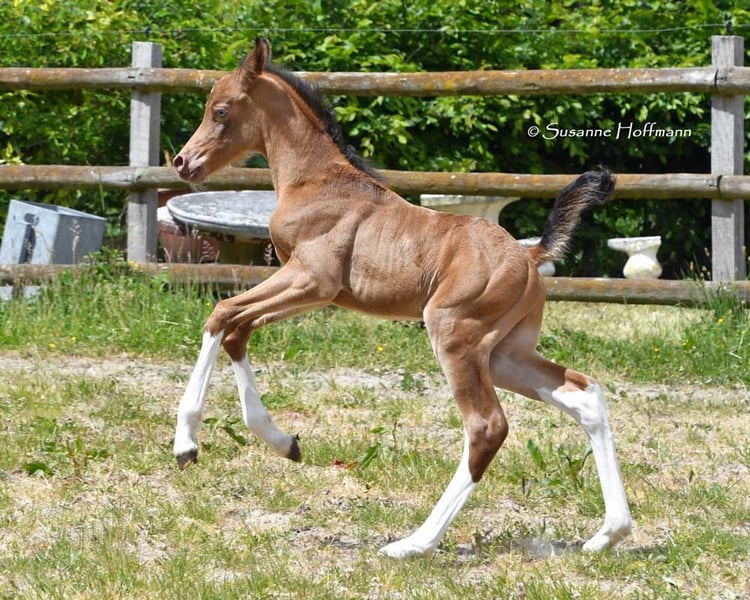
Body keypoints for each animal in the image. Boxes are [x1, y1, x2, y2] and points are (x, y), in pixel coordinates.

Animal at [172, 38, 633, 558]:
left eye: (221, 110)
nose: (183, 162)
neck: (317, 182)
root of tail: (530, 254)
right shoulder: (312, 292)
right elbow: (237, 330)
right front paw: (284, 442)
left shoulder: (311, 279)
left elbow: (222, 314)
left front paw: (187, 443)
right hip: (504, 355)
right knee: (584, 395)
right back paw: (607, 534)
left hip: (455, 335)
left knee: (486, 426)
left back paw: (415, 544)